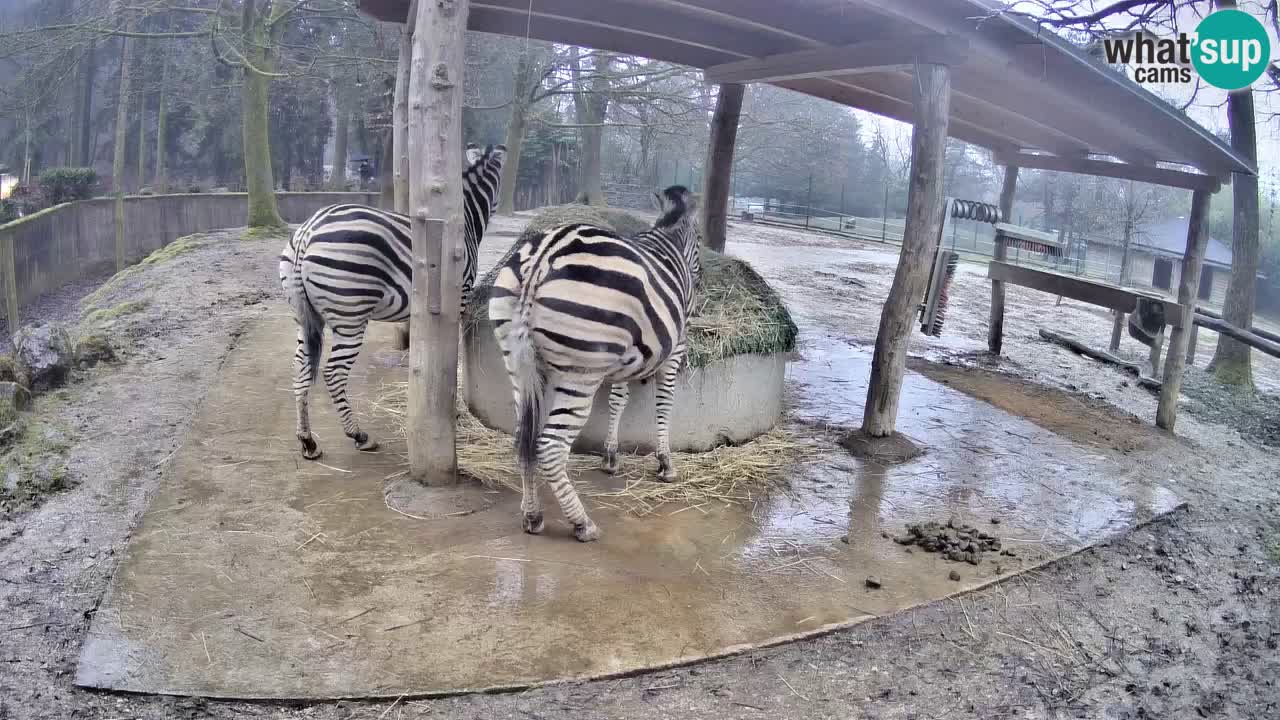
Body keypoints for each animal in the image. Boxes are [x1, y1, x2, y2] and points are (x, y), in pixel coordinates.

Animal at [279, 143, 505, 460]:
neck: (465, 221)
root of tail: (308, 231)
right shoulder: (458, 297)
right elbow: (449, 355)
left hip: (304, 316)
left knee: (300, 367)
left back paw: (307, 441)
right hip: (350, 316)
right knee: (333, 373)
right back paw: (359, 436)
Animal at [489, 185, 701, 542]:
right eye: (699, 245)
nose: (699, 300)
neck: (667, 240)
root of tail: (541, 257)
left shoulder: (625, 356)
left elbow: (618, 400)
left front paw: (610, 457)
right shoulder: (674, 350)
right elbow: (664, 404)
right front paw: (665, 463)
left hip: (518, 364)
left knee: (524, 438)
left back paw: (532, 516)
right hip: (581, 373)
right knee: (551, 446)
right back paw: (582, 524)